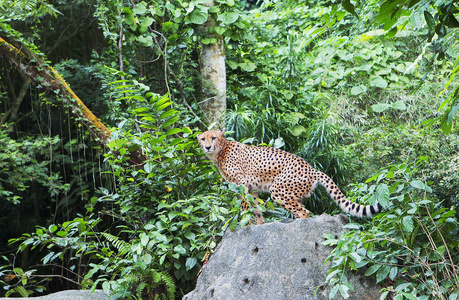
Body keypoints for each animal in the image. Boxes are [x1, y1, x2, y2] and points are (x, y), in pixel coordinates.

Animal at [199, 129, 382, 223]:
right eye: (202, 139)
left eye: (213, 137)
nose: (207, 147)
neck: (220, 151)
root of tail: (312, 168)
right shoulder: (252, 189)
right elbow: (256, 210)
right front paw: (258, 226)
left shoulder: (242, 184)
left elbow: (246, 208)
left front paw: (245, 226)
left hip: (279, 190)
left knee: (304, 212)